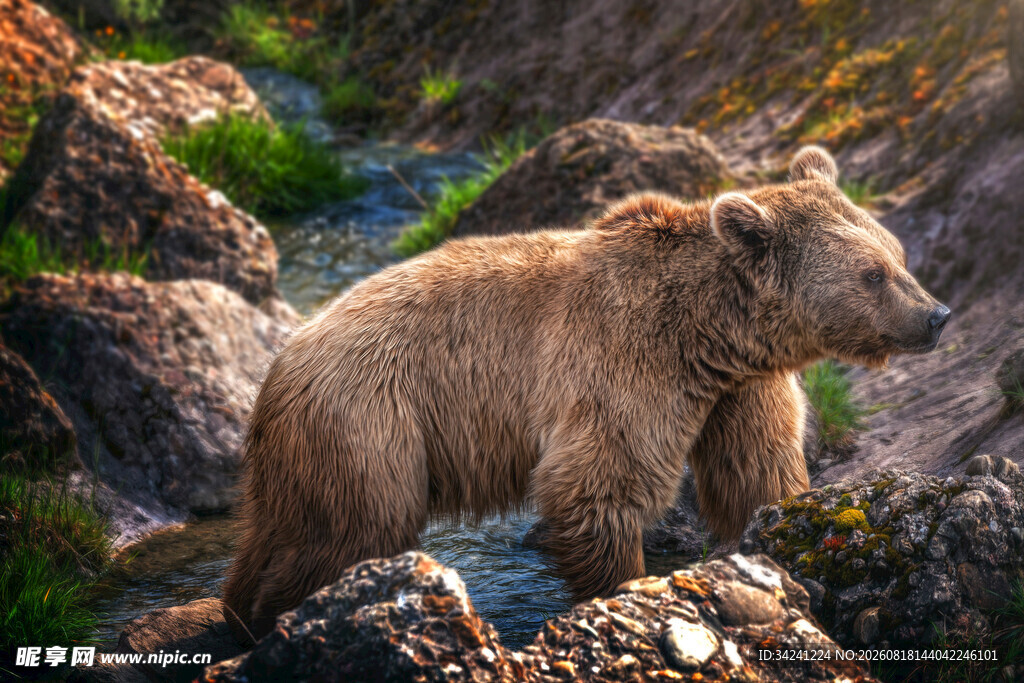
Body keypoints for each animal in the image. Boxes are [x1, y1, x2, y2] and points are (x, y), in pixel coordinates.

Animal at [222, 146, 950, 643]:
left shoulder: (739, 393)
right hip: (371, 420)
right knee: (350, 532)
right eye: (871, 272)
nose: (937, 314)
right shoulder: (623, 363)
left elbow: (755, 473)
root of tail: (281, 360)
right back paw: (279, 614)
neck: (709, 333)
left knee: (279, 530)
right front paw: (625, 590)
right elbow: (599, 484)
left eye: (896, 253)